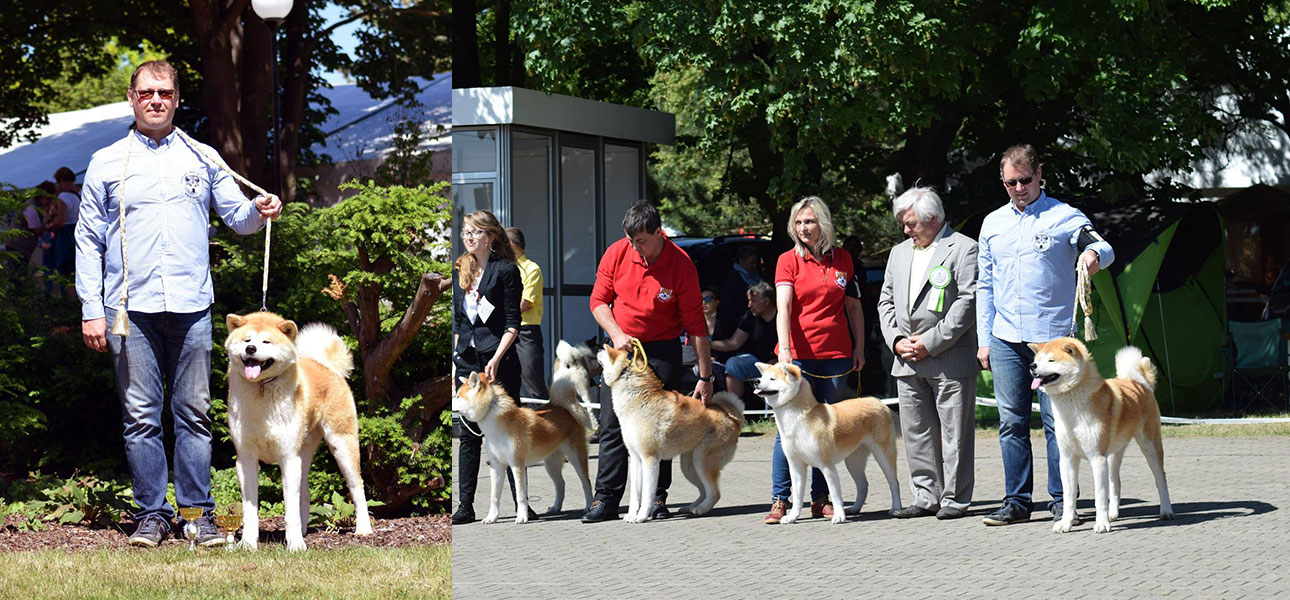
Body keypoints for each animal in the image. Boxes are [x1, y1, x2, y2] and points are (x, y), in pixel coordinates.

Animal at [221, 310, 371, 549]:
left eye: (266, 342)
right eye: (247, 340)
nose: (251, 349)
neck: (262, 389)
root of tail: (326, 365)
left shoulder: (288, 457)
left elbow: (289, 508)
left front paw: (295, 545)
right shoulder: (246, 458)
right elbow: (250, 508)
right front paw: (248, 543)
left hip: (341, 446)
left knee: (357, 488)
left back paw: (363, 528)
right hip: (304, 453)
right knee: (306, 493)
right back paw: (303, 529)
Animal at [451, 338, 595, 521]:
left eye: (458, 397)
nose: (451, 402)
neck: (495, 423)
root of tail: (563, 407)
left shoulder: (516, 464)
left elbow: (520, 495)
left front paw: (522, 517)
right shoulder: (496, 465)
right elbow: (494, 496)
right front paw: (491, 517)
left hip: (576, 457)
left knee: (586, 482)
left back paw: (589, 506)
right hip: (551, 463)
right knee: (561, 484)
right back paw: (556, 507)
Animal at [595, 343, 743, 521]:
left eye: (607, 352)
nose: (598, 348)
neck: (638, 399)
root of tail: (733, 419)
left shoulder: (649, 459)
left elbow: (647, 494)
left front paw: (641, 517)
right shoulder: (636, 459)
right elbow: (635, 495)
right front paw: (631, 515)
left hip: (702, 461)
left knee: (714, 493)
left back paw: (701, 509)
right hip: (689, 466)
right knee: (704, 491)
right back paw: (691, 507)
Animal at [753, 361, 903, 523]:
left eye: (772, 379)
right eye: (763, 376)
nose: (756, 381)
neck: (801, 418)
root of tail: (880, 403)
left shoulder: (826, 465)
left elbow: (835, 493)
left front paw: (838, 516)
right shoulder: (796, 465)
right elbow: (798, 495)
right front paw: (792, 517)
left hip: (883, 455)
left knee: (894, 483)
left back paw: (896, 508)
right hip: (853, 461)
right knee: (863, 486)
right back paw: (855, 508)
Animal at [1026, 335, 1181, 534]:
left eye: (1051, 360)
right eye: (1038, 360)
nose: (1032, 366)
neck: (1071, 406)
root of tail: (1140, 383)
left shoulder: (1097, 458)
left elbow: (1099, 497)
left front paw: (1101, 524)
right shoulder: (1067, 459)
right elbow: (1069, 497)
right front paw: (1066, 523)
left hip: (1150, 447)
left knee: (1160, 479)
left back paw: (1166, 510)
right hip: (1114, 455)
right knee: (1116, 482)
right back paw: (1113, 514)